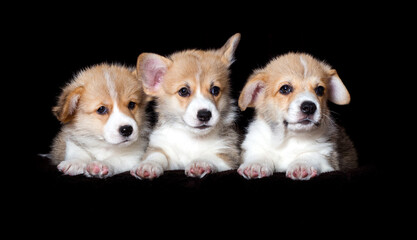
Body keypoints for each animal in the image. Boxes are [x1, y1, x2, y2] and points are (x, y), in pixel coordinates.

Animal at [130, 32, 240, 179]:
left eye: (215, 90)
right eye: (183, 91)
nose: (204, 115)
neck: (192, 138)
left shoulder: (229, 155)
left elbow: (212, 157)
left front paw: (201, 163)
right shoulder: (162, 147)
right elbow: (157, 155)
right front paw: (148, 165)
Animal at [239, 52, 356, 180]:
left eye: (320, 90)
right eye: (285, 88)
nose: (309, 107)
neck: (288, 139)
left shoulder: (326, 154)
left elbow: (311, 155)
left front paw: (301, 165)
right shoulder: (254, 145)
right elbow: (259, 154)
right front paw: (255, 165)